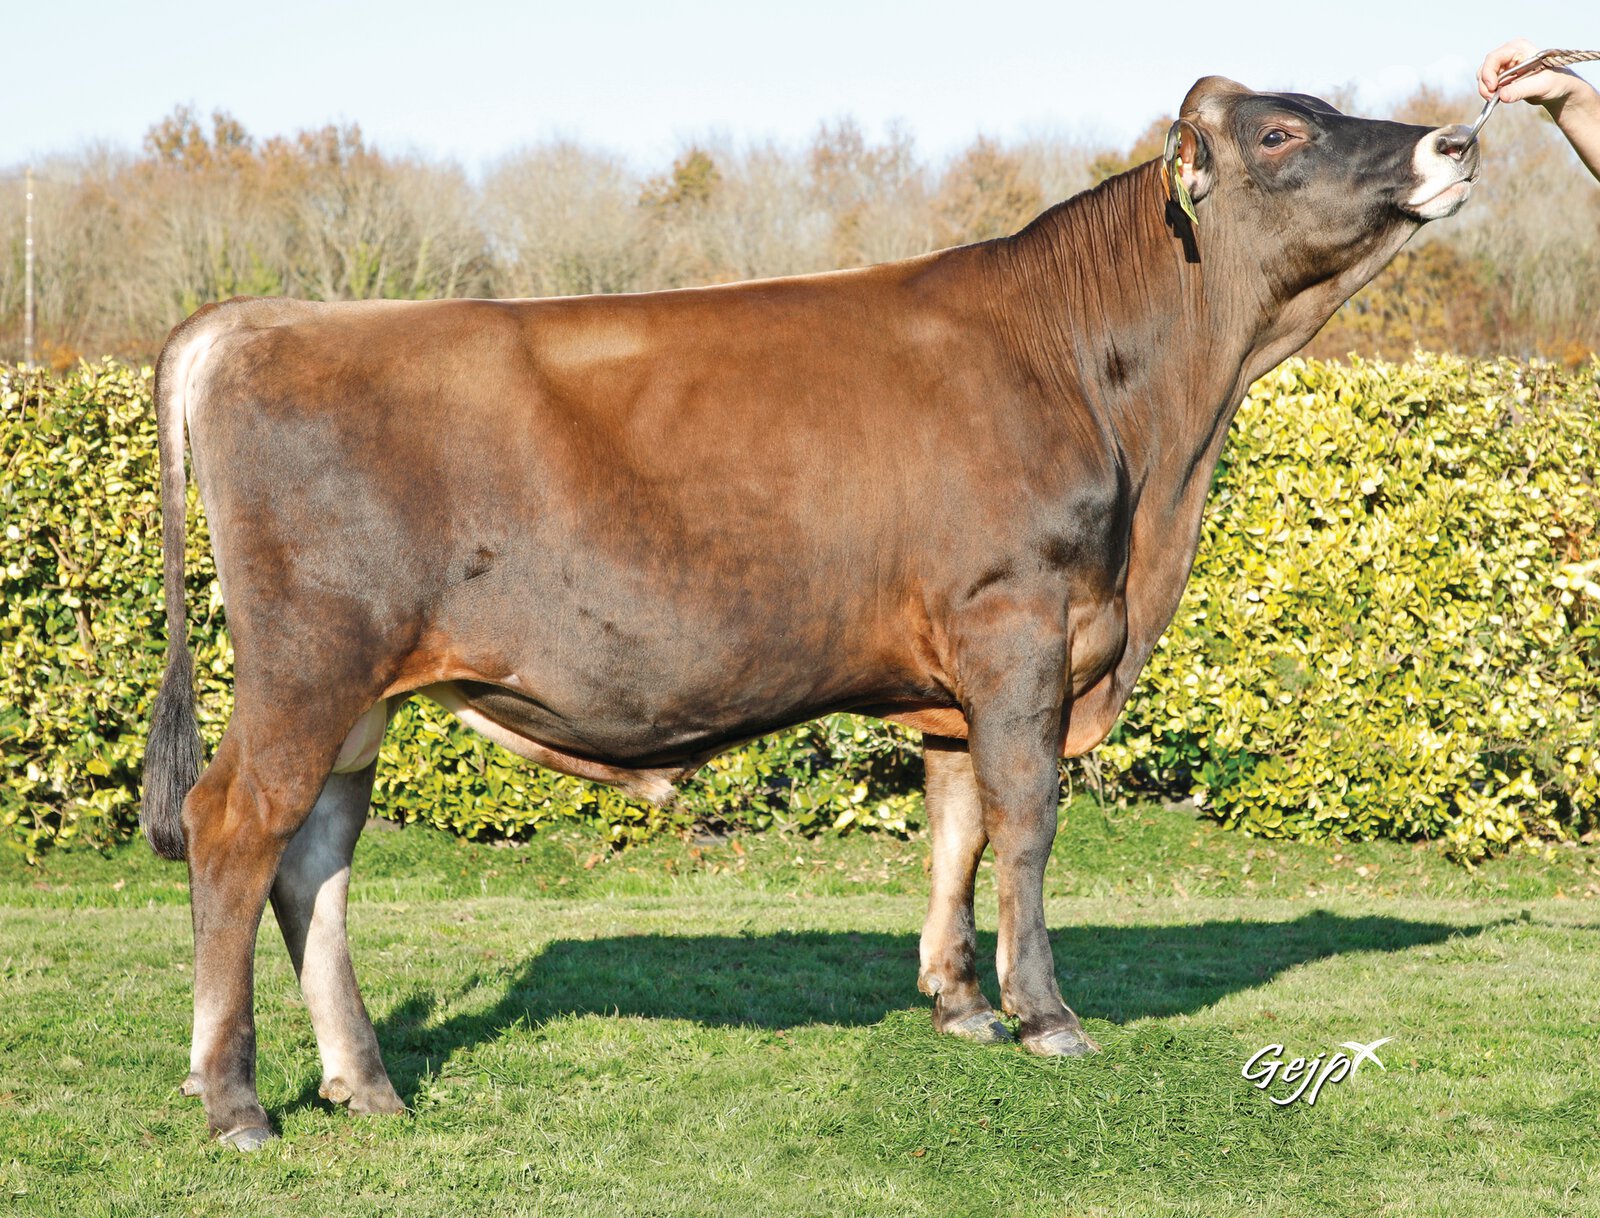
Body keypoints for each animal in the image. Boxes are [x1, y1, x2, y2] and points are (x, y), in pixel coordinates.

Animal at [139, 76, 1479, 1148]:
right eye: (1281, 131)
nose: (1459, 138)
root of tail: (261, 317)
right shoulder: (1018, 626)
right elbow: (1025, 823)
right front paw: (1045, 1016)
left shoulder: (955, 677)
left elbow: (954, 826)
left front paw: (959, 1005)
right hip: (309, 664)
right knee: (234, 831)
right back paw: (236, 1101)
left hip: (359, 695)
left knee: (314, 860)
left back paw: (362, 1084)